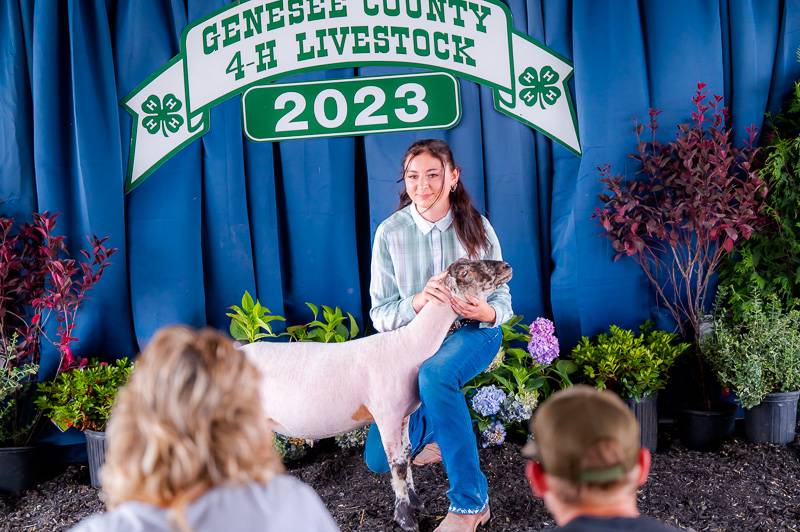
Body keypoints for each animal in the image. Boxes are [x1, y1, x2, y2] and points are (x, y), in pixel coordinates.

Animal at [242, 258, 512, 532]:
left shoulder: (403, 415)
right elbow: (398, 464)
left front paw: (416, 503)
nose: (506, 266)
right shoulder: (387, 415)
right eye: (466, 271)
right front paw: (406, 519)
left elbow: (407, 454)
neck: (409, 346)